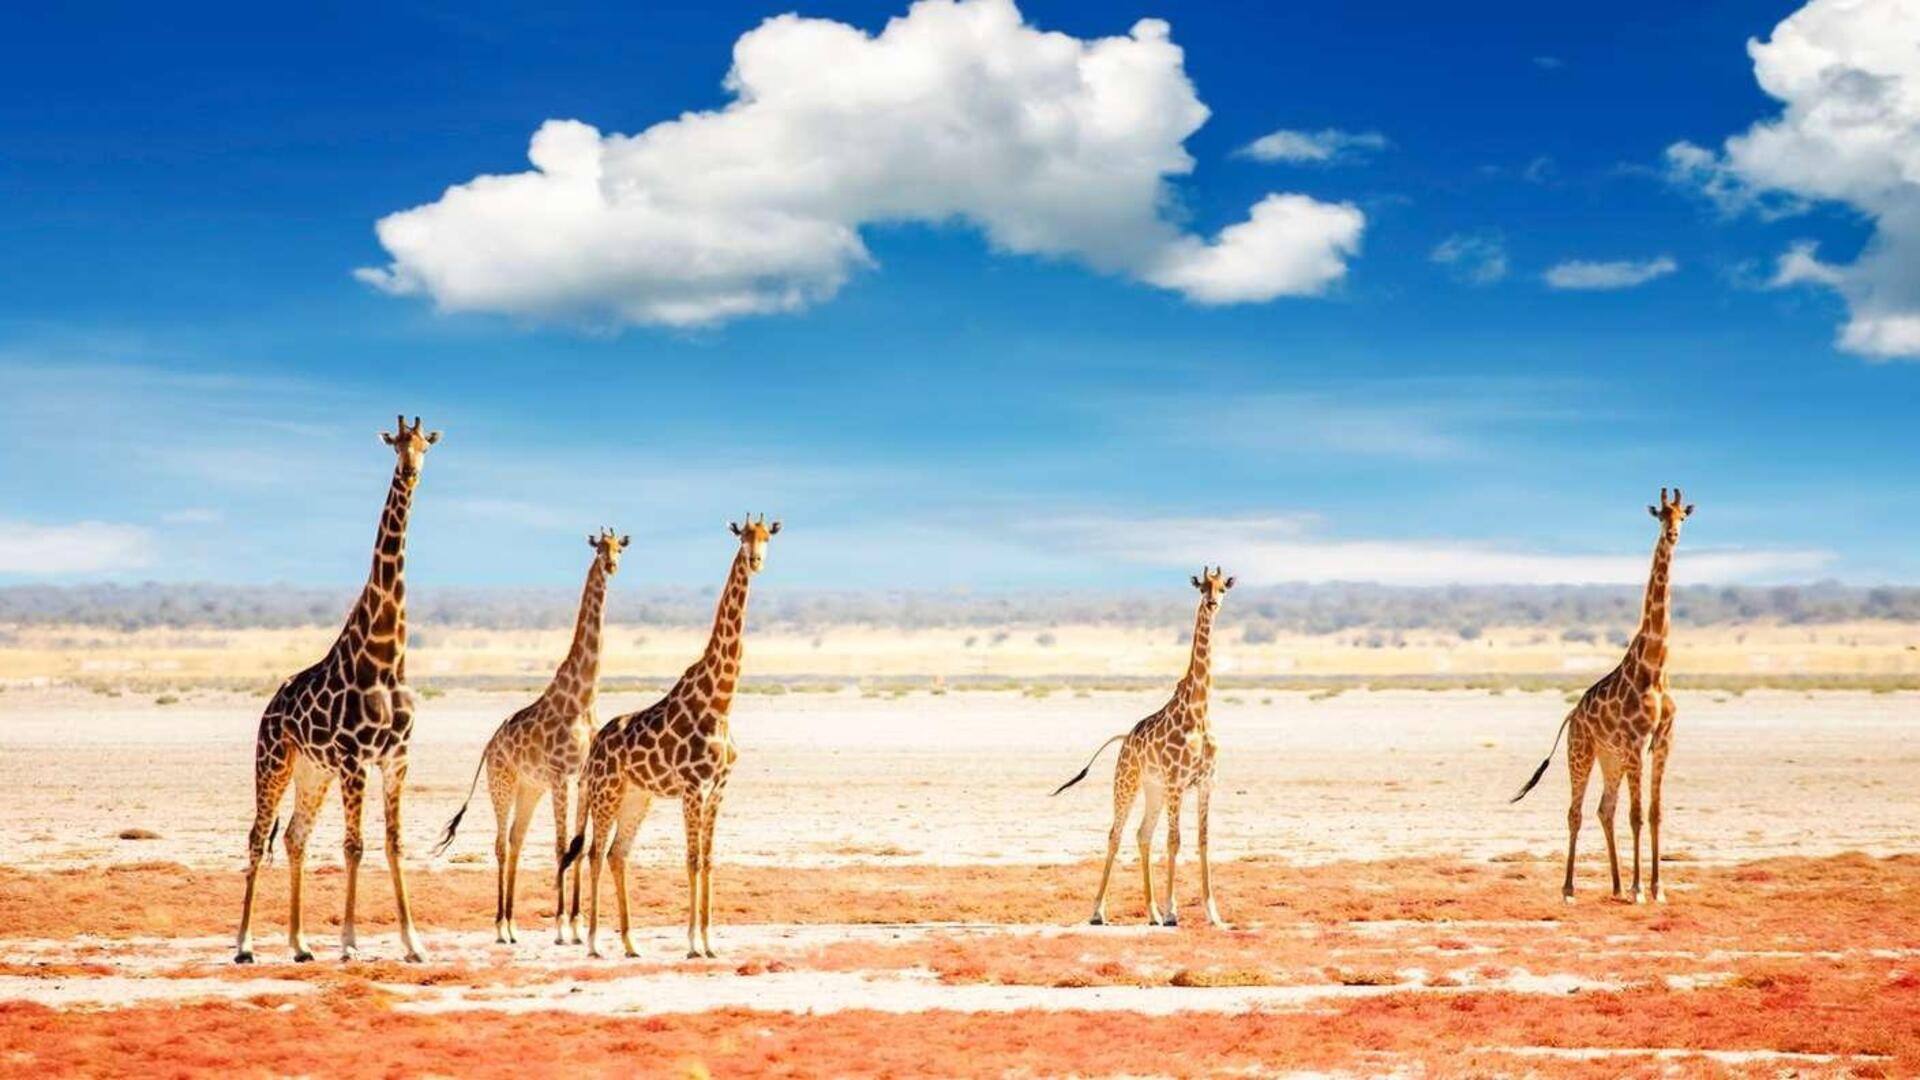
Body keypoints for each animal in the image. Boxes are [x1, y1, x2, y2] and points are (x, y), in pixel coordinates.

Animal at [234, 411, 439, 957]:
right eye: (395, 444)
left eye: (425, 446)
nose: (410, 472)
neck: (386, 657)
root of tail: (269, 709)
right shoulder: (353, 759)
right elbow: (355, 846)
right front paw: (348, 943)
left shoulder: (396, 758)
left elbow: (393, 843)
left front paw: (414, 943)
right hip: (274, 761)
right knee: (257, 836)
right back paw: (244, 944)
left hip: (312, 772)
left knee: (294, 837)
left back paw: (300, 944)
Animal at [433, 526, 629, 937]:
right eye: (599, 548)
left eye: (620, 548)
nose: (612, 566)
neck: (583, 698)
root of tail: (489, 747)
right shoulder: (559, 776)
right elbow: (560, 845)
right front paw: (561, 925)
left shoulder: (582, 778)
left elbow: (578, 845)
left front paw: (576, 921)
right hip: (502, 782)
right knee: (500, 843)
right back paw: (501, 925)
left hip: (529, 788)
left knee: (516, 839)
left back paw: (511, 924)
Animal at [560, 518, 779, 953]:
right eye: (743, 537)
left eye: (767, 537)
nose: (757, 561)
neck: (721, 702)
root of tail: (594, 750)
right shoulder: (693, 788)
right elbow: (691, 860)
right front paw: (693, 942)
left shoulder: (718, 789)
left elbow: (708, 860)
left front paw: (710, 942)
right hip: (607, 792)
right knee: (594, 853)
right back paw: (593, 942)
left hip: (637, 797)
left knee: (617, 854)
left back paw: (630, 944)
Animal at [1059, 568, 1236, 930]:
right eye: (1202, 588)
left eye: (1223, 588)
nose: (1213, 603)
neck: (1199, 712)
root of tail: (1124, 738)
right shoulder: (1177, 782)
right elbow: (1175, 840)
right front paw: (1172, 913)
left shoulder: (1206, 783)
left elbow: (1203, 840)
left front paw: (1214, 915)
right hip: (1127, 781)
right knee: (1115, 833)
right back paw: (1098, 912)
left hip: (1153, 789)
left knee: (1142, 834)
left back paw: (1151, 913)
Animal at [1512, 486, 1697, 899]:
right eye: (1661, 515)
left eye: (1683, 516)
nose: (1673, 534)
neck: (1655, 668)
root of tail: (1573, 714)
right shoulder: (1635, 742)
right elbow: (1637, 815)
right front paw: (1639, 889)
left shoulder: (1663, 741)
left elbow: (1655, 813)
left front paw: (1656, 889)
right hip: (1581, 751)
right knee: (1576, 812)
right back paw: (1569, 889)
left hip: (1609, 757)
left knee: (1604, 808)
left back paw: (1614, 885)